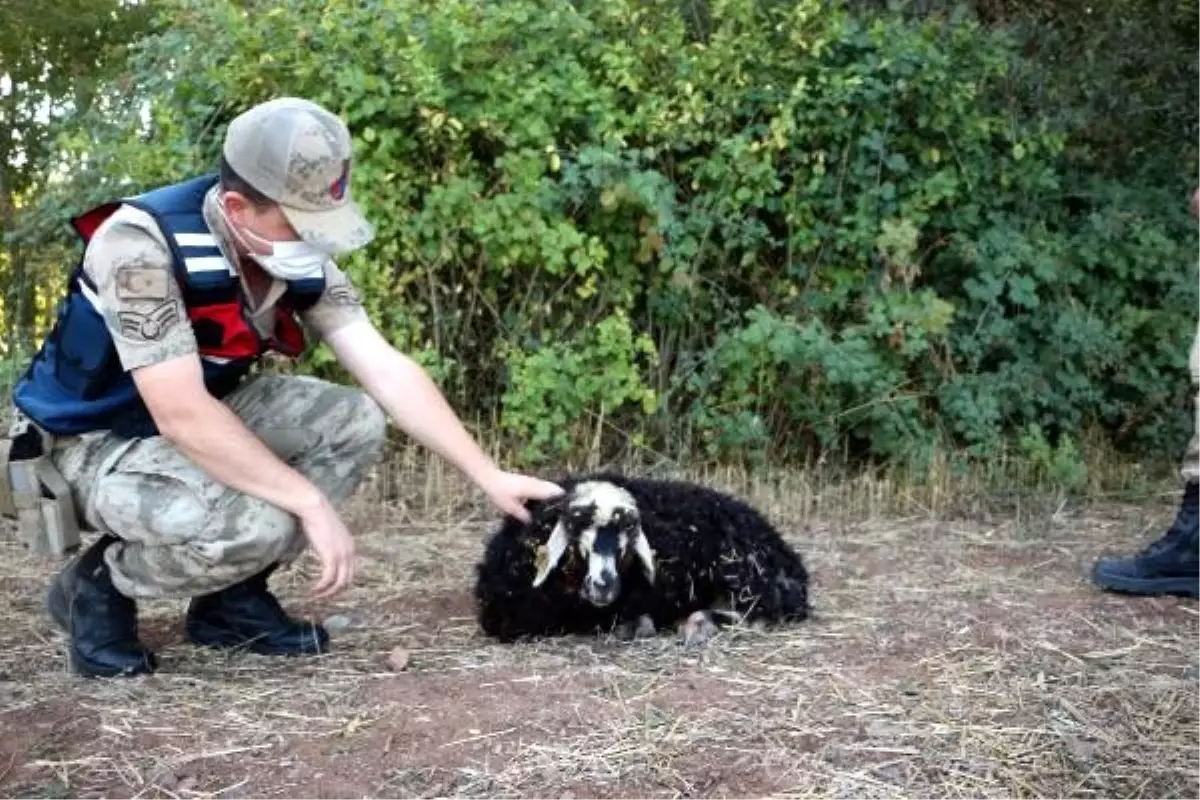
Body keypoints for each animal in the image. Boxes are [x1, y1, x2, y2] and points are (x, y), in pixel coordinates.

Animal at [472, 472, 811, 647]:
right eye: (575, 526)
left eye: (629, 533)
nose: (604, 586)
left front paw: (635, 625)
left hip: (742, 571)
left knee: (764, 609)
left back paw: (700, 623)